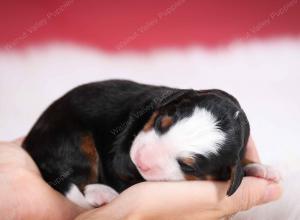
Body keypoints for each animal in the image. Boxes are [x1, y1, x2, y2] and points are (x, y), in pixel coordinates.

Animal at [22, 79, 251, 208]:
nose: (141, 159)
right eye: (161, 123)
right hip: (73, 139)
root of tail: (30, 142)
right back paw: (102, 194)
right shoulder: (118, 155)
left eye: (187, 166)